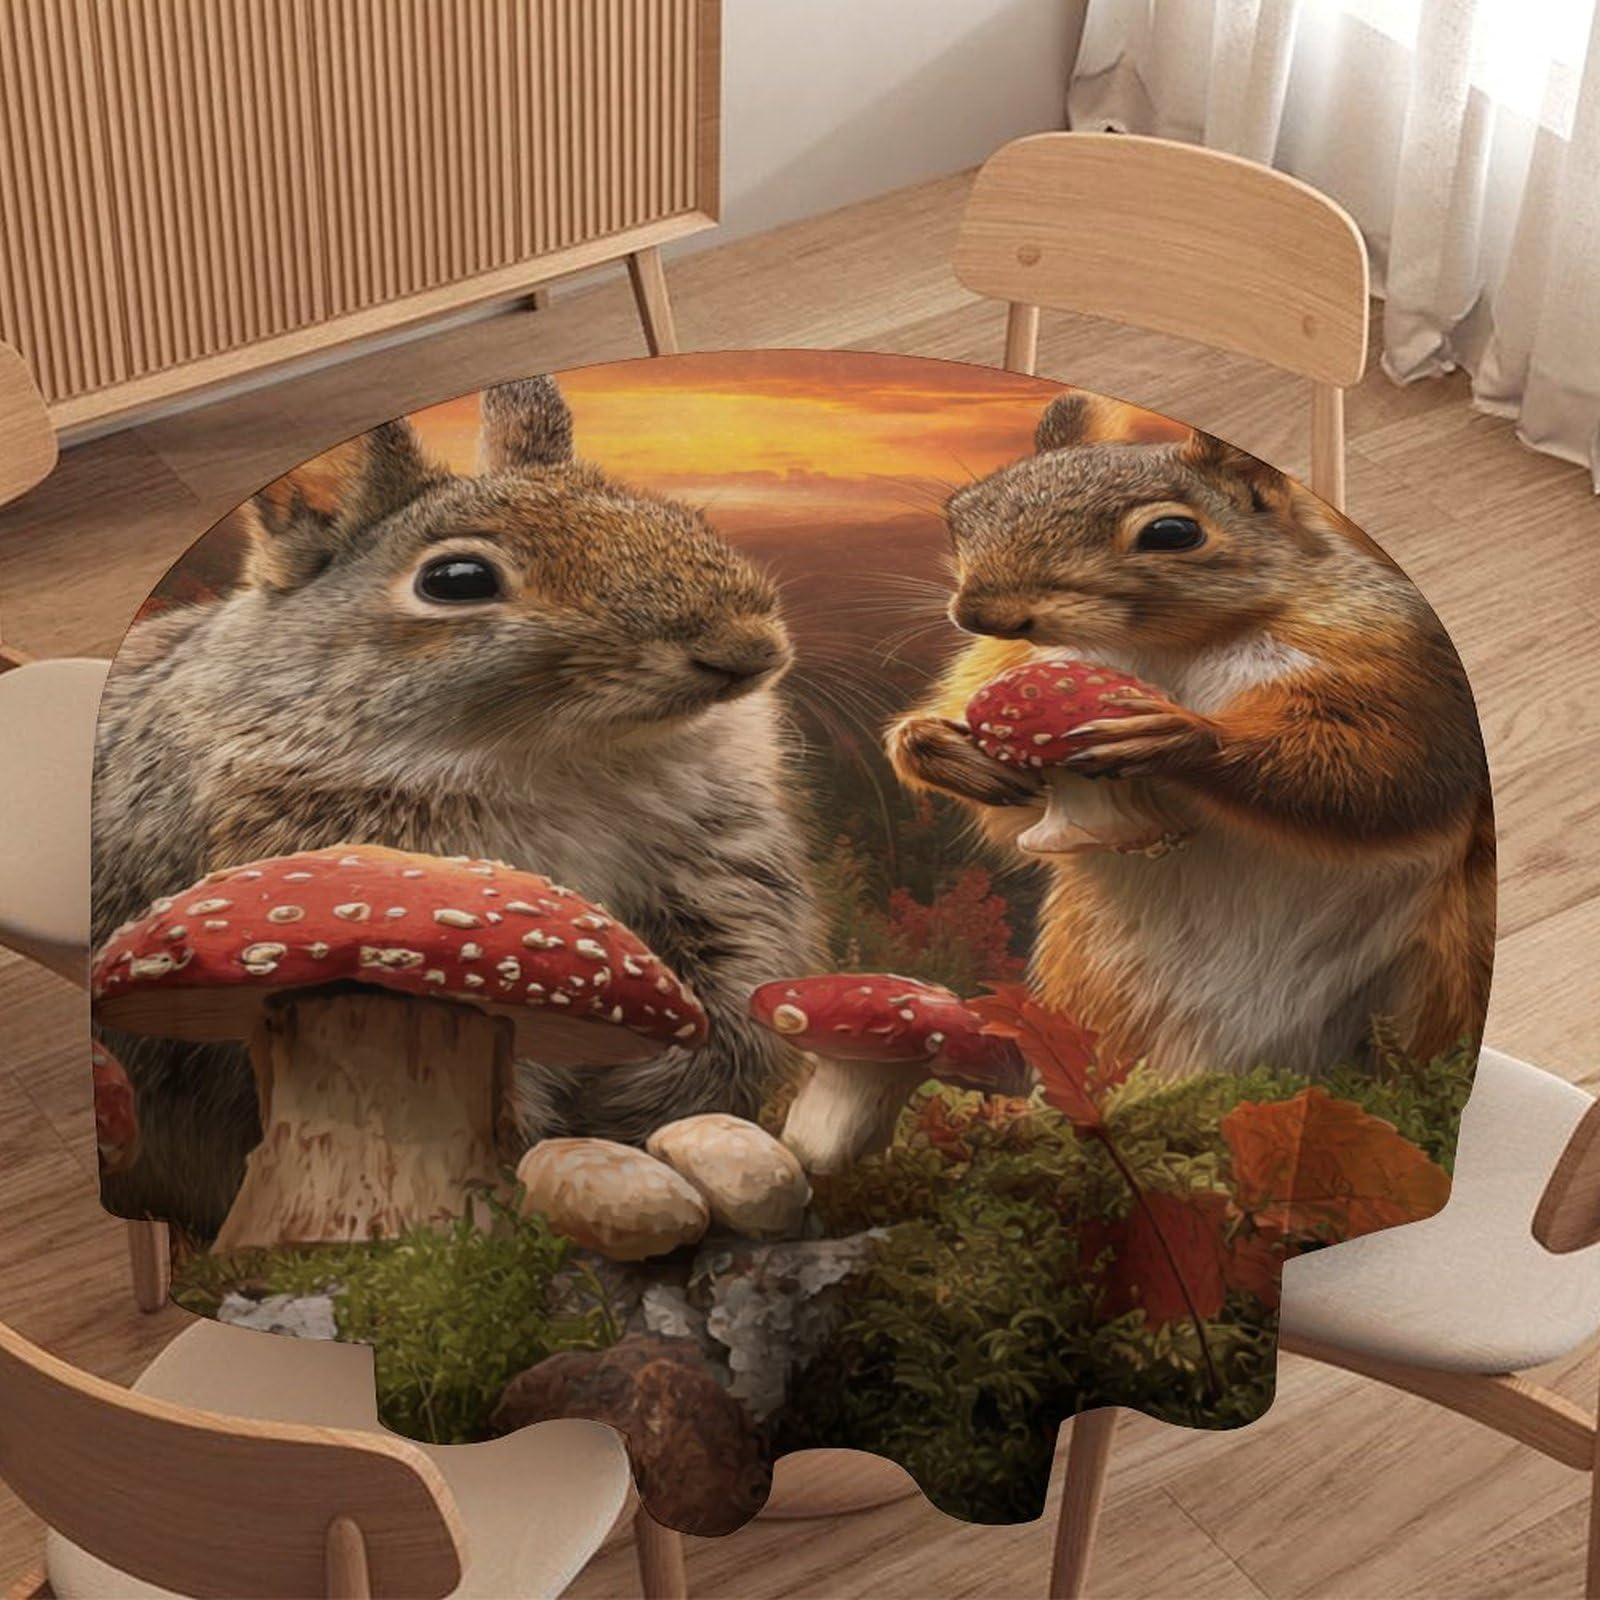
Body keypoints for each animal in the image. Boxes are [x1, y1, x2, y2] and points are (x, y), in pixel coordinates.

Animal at [93, 376, 817, 1236]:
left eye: (678, 515)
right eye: (457, 579)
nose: (750, 649)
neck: (563, 761)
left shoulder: (721, 882)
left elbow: (738, 1008)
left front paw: (645, 1107)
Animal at [888, 391, 1494, 1079]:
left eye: (1173, 533)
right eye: (962, 514)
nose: (980, 615)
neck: (1164, 647)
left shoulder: (1396, 661)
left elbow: (1387, 772)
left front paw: (1178, 736)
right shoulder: (1007, 667)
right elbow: (1013, 811)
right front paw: (942, 750)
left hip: (1435, 983)